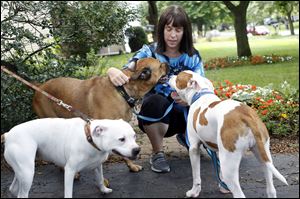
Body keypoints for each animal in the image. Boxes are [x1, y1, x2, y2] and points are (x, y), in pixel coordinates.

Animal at [1, 118, 141, 197]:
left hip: (22, 171)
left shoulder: (97, 166)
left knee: (13, 189)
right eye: (121, 139)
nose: (137, 150)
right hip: (28, 173)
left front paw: (104, 190)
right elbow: (68, 192)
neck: (89, 138)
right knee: (22, 194)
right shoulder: (69, 171)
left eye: (134, 136)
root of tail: (8, 135)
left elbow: (100, 179)